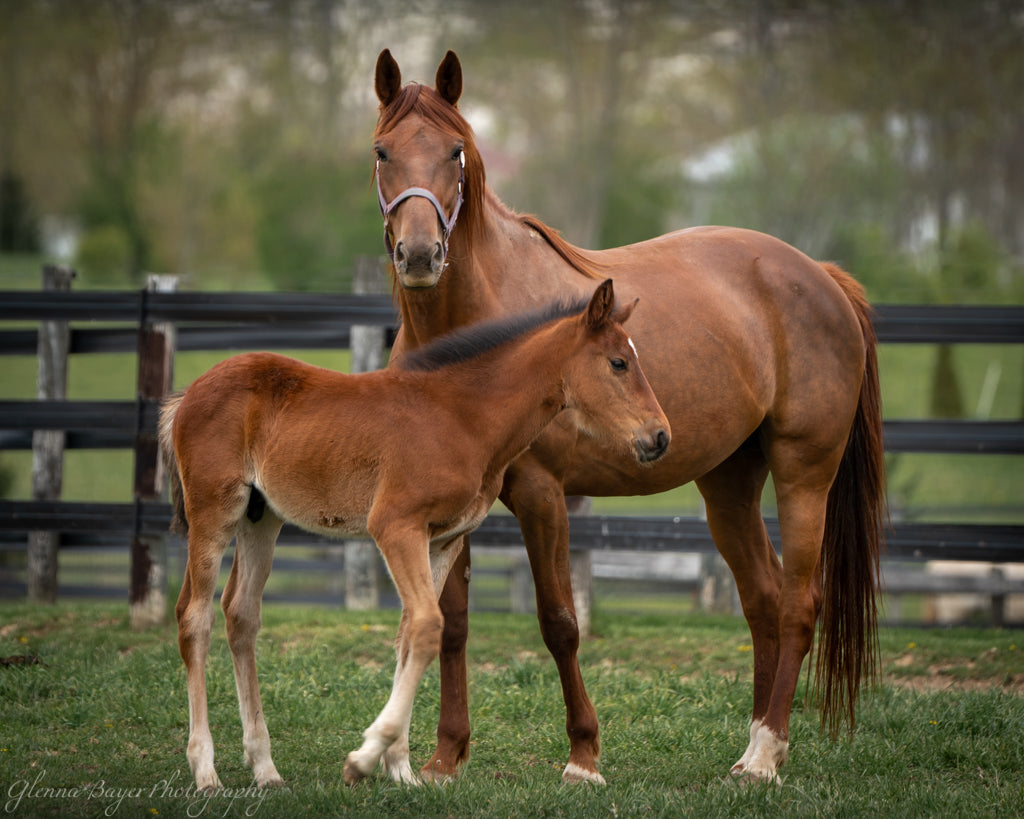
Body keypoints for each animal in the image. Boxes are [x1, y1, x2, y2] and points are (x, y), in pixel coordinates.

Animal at [160, 279, 669, 791]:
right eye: (619, 363)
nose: (660, 437)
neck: (461, 416)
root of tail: (186, 395)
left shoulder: (441, 540)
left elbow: (409, 633)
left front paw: (401, 768)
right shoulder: (395, 526)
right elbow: (427, 626)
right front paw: (365, 758)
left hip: (260, 518)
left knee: (241, 614)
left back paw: (266, 769)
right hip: (213, 512)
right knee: (194, 616)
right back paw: (206, 771)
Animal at [371, 49, 886, 784]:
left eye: (454, 152)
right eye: (382, 151)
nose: (419, 255)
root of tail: (819, 273)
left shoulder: (543, 494)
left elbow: (560, 621)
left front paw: (583, 755)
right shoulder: (449, 502)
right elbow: (452, 621)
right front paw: (446, 756)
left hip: (803, 475)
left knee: (796, 604)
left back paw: (766, 754)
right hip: (728, 483)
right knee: (761, 599)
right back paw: (755, 741)